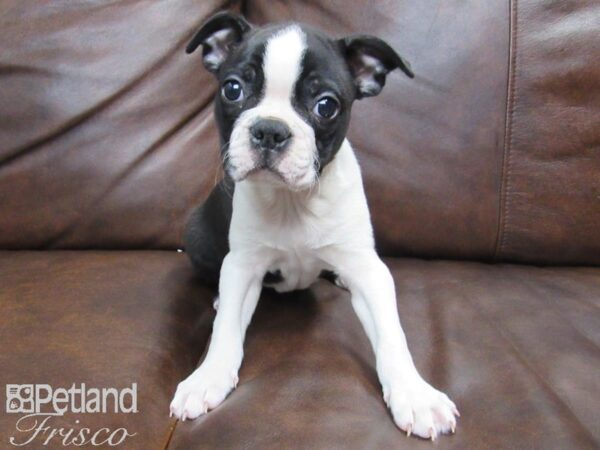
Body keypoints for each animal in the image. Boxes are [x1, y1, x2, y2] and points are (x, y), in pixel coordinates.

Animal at [169, 11, 460, 440]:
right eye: (233, 89)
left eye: (326, 106)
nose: (270, 130)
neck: (294, 201)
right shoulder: (242, 265)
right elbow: (225, 331)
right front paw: (207, 378)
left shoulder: (367, 270)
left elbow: (392, 334)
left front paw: (415, 394)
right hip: (198, 234)